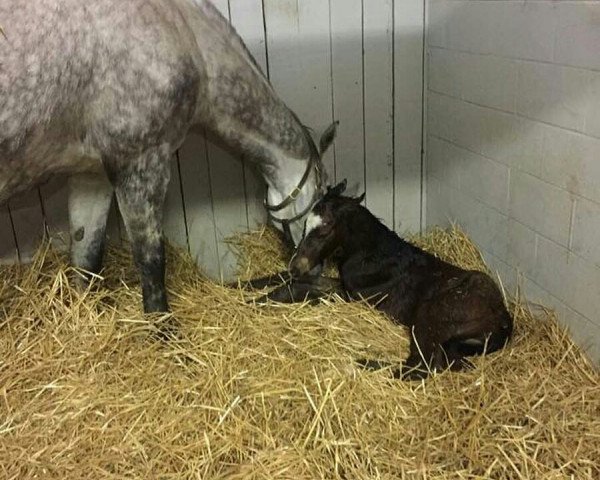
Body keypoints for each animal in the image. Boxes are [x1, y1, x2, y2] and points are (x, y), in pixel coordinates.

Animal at [0, 0, 338, 318]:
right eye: (319, 206)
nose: (311, 271)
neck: (186, 35)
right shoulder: (141, 168)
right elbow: (151, 262)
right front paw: (162, 331)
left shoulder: (91, 174)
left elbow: (87, 254)